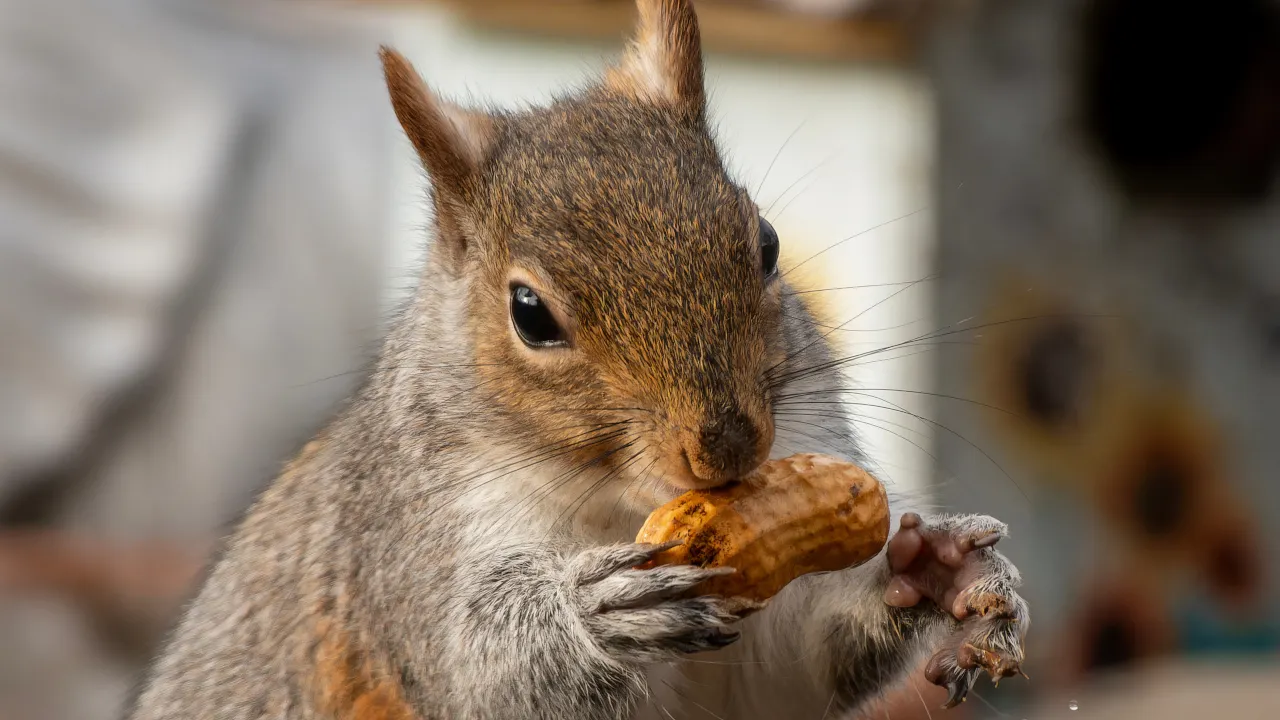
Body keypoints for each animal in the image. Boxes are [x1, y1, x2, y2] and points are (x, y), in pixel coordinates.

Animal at [126, 2, 1029, 718]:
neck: (621, 504)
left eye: (767, 244)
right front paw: (591, 614)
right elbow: (478, 670)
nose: (728, 447)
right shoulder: (410, 542)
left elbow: (793, 665)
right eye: (530, 314)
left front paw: (936, 567)